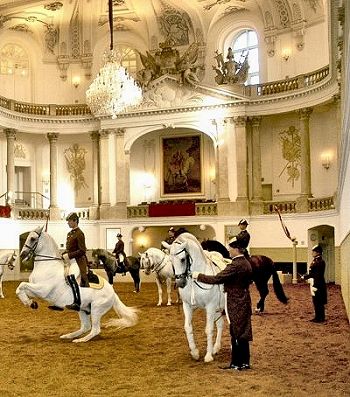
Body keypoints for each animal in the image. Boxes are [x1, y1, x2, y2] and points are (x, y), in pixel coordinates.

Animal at [169, 232, 224, 362]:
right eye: (170, 260)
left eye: (183, 259)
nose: (180, 283)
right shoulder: (188, 306)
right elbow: (188, 327)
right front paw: (195, 352)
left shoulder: (210, 306)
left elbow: (209, 329)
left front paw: (208, 356)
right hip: (217, 309)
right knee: (220, 324)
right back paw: (216, 348)